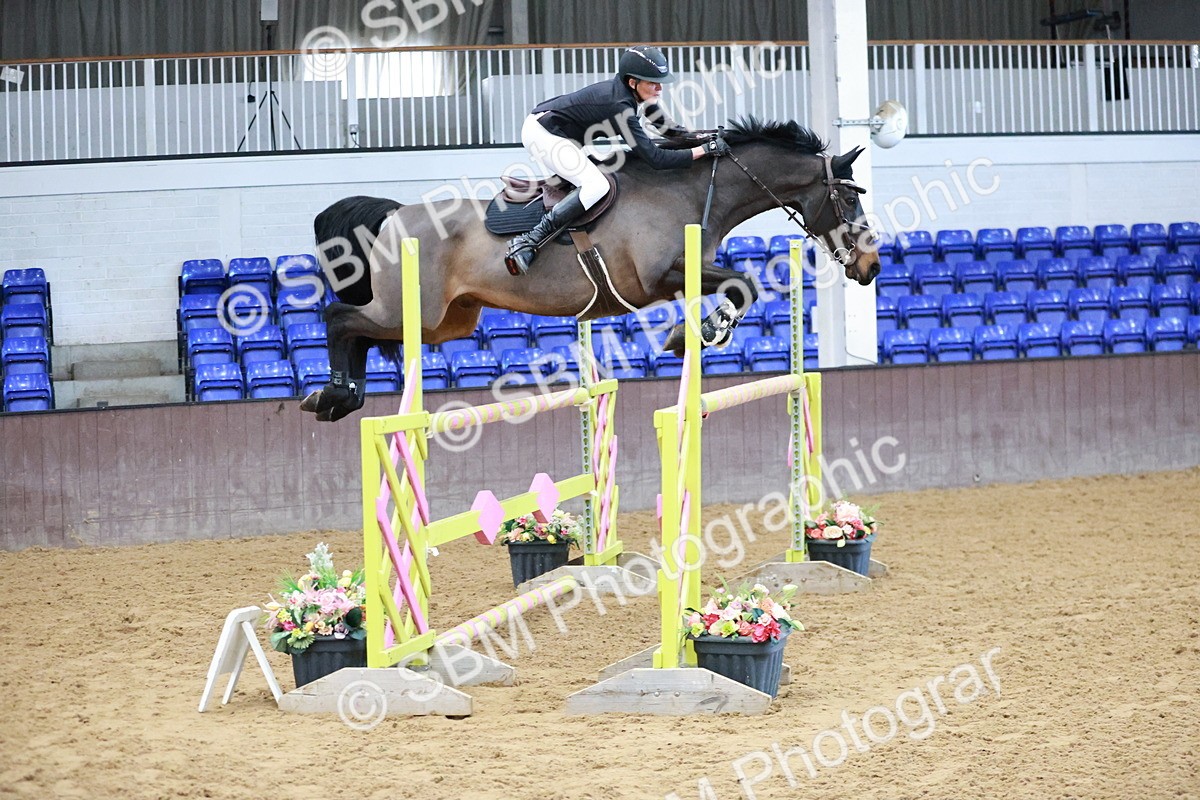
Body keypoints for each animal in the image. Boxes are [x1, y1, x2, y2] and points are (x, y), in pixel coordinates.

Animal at [300, 116, 882, 422]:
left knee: (360, 331)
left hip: (447, 321)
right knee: (339, 318)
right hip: (412, 312)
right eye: (851, 198)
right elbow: (745, 282)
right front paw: (695, 333)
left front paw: (697, 332)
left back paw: (338, 398)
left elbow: (742, 285)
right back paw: (333, 394)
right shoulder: (658, 277)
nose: (872, 266)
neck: (693, 189)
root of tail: (395, 213)